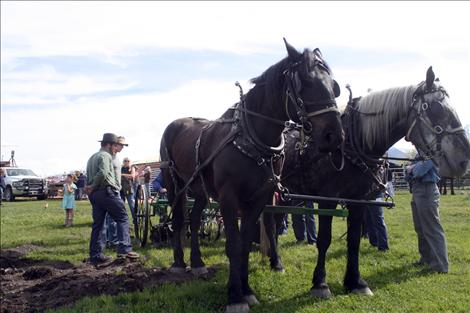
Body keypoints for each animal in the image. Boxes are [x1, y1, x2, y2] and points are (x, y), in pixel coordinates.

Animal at [160, 39, 344, 312]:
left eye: (333, 85)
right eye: (305, 82)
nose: (335, 136)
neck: (251, 138)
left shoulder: (259, 197)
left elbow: (246, 242)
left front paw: (247, 290)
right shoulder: (229, 197)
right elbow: (233, 244)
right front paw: (234, 296)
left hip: (201, 190)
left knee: (193, 219)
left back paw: (198, 262)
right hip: (174, 183)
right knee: (180, 218)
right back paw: (180, 264)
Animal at [266, 66, 470, 298]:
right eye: (437, 108)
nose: (463, 160)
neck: (351, 144)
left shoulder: (359, 200)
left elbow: (354, 240)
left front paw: (355, 281)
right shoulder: (327, 199)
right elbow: (324, 240)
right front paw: (320, 284)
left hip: (282, 194)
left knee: (273, 223)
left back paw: (276, 262)